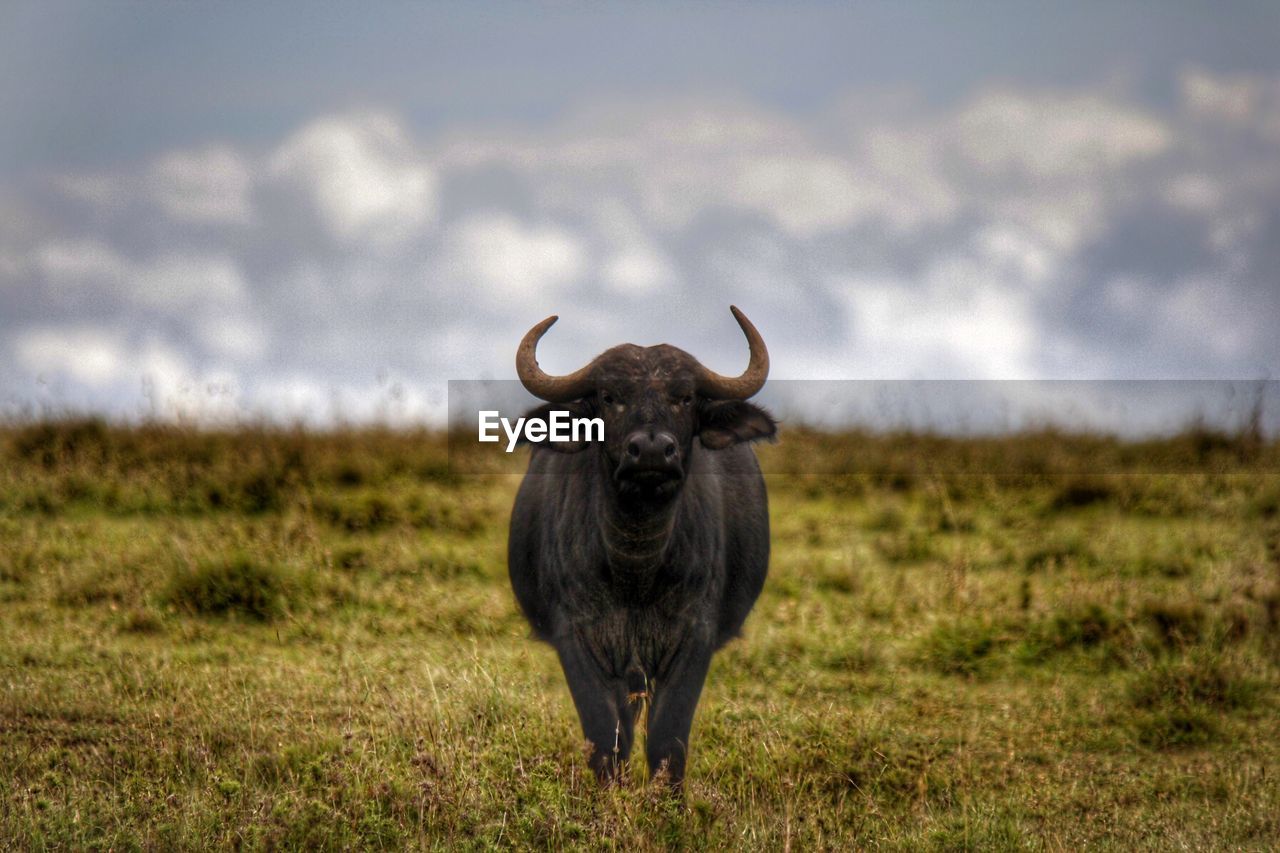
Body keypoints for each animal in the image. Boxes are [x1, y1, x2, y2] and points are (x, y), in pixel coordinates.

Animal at [506, 303, 768, 783]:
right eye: (609, 396)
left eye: (685, 397)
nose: (650, 451)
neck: (635, 564)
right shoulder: (576, 636)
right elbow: (606, 737)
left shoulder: (694, 636)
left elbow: (667, 740)